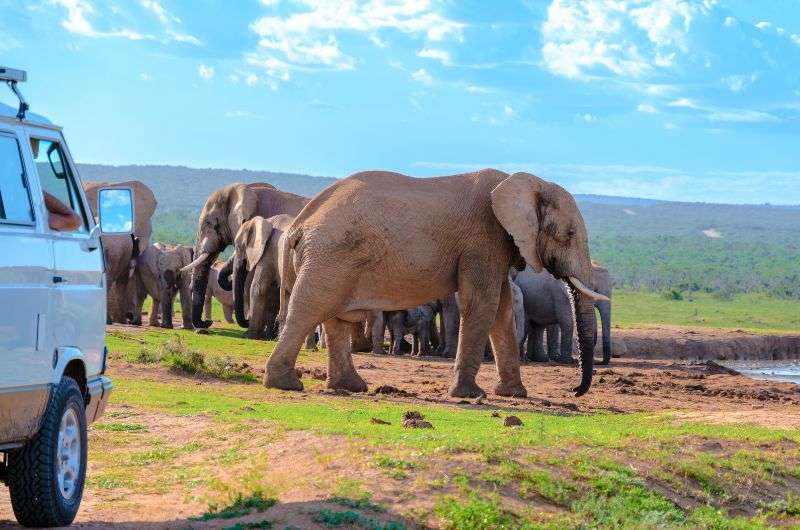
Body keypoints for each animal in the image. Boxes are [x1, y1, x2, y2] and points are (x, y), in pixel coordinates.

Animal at [268, 169, 608, 396]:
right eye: (569, 234)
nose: (574, 391)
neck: (527, 182)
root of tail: (300, 222)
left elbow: (502, 311)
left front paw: (513, 394)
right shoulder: (482, 240)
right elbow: (482, 304)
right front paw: (471, 395)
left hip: (333, 259)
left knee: (336, 317)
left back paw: (350, 387)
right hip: (330, 256)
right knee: (309, 309)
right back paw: (286, 384)